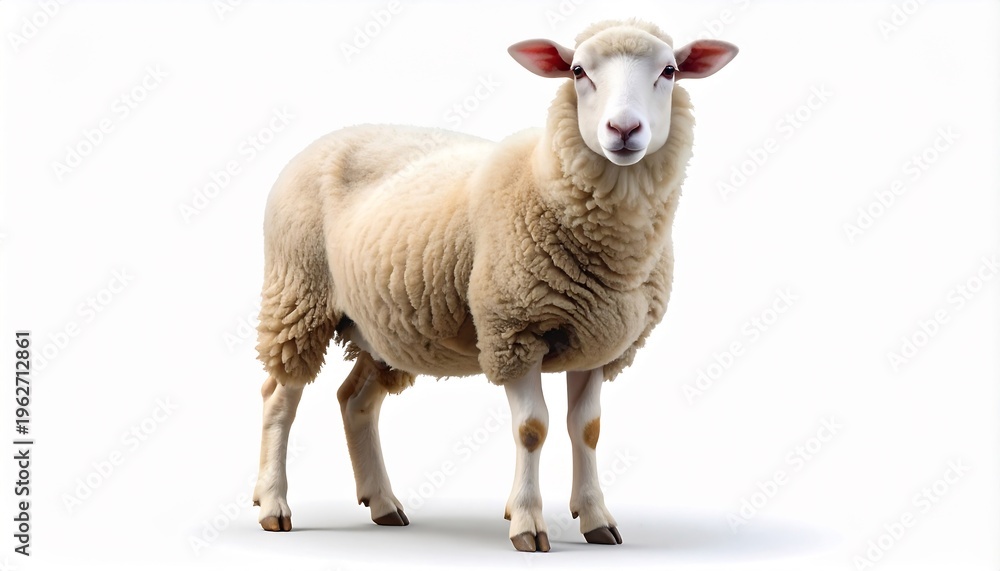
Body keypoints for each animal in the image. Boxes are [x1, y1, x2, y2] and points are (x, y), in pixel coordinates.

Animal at [252, 18, 737, 552]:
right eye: (578, 71)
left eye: (669, 71)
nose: (624, 130)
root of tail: (325, 138)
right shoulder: (514, 330)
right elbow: (532, 428)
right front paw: (527, 522)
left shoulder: (599, 343)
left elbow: (587, 429)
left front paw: (596, 518)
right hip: (298, 295)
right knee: (279, 398)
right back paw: (274, 504)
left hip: (381, 326)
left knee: (355, 402)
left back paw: (382, 503)